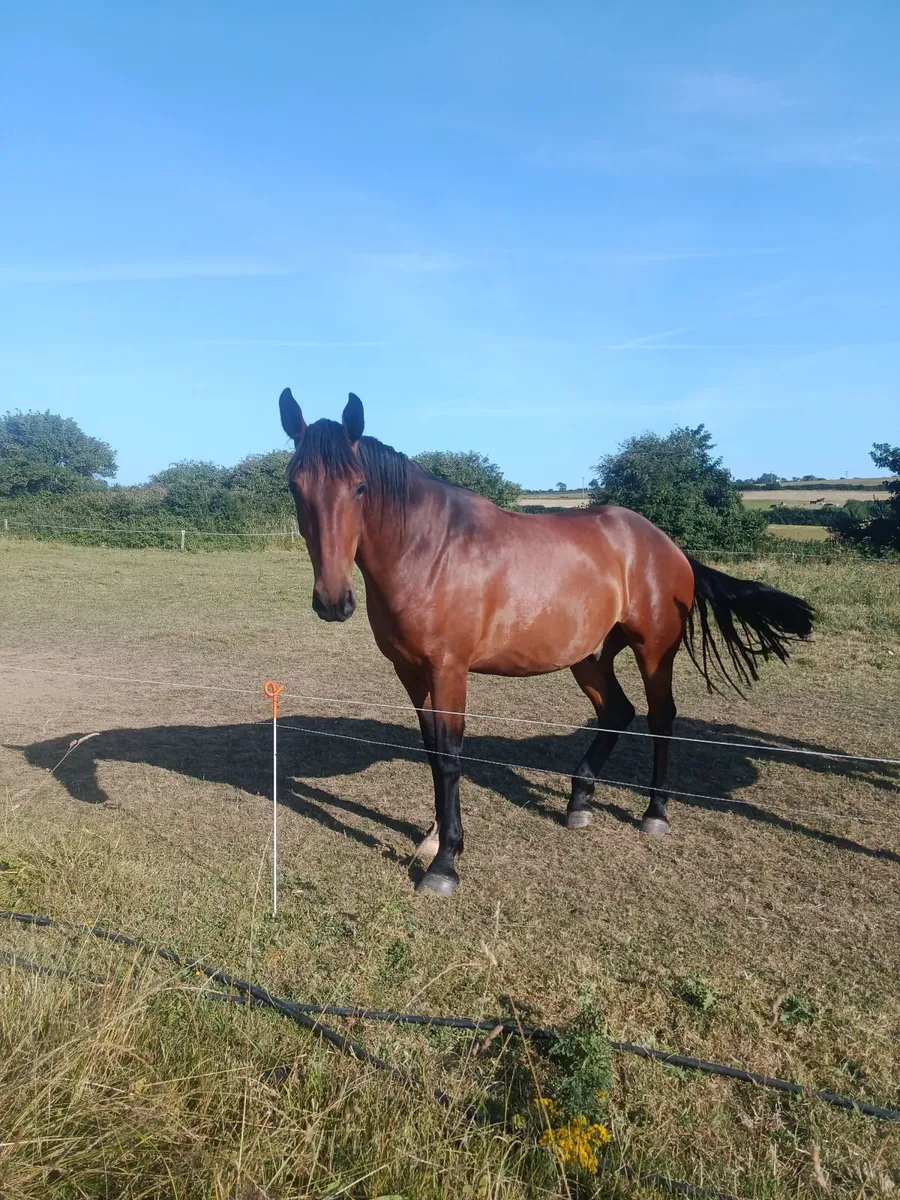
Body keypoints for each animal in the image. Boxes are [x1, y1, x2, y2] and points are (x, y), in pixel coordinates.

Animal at [278, 389, 814, 897]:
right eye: (293, 485)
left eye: (360, 486)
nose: (333, 600)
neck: (428, 550)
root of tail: (667, 545)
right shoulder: (411, 673)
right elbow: (432, 754)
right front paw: (432, 838)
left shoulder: (449, 669)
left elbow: (450, 757)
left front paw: (445, 862)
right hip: (590, 657)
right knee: (617, 712)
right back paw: (579, 803)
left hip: (654, 650)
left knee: (661, 719)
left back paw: (655, 814)